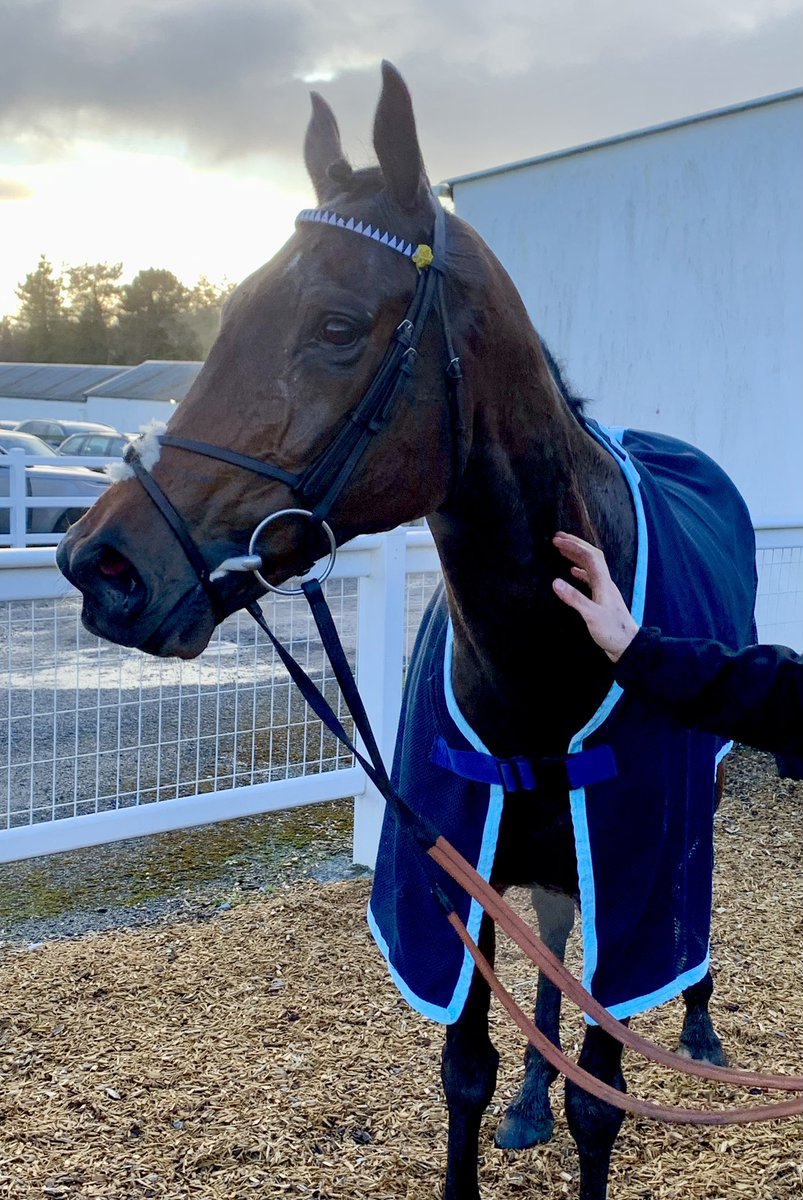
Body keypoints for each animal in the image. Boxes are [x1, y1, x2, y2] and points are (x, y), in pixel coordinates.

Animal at [57, 63, 758, 1200]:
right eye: (231, 311)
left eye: (339, 326)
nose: (103, 566)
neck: (537, 671)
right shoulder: (452, 874)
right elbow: (465, 1072)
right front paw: (513, 1096)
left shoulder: (631, 878)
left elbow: (602, 1095)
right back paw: (532, 1095)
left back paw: (696, 1028)